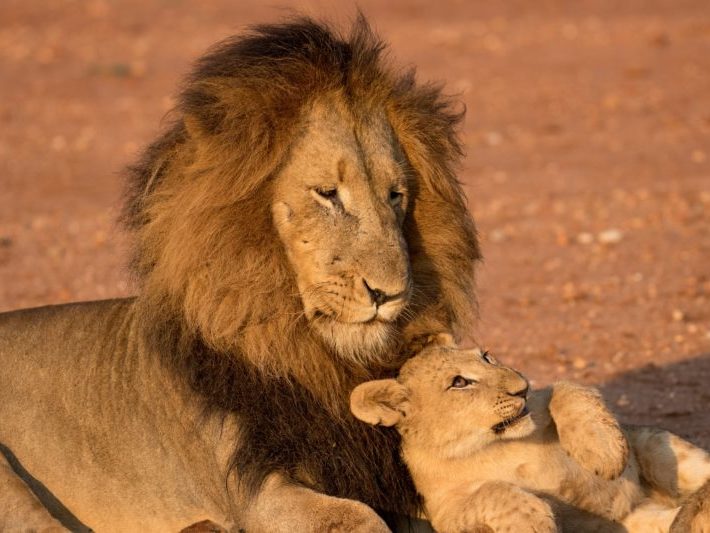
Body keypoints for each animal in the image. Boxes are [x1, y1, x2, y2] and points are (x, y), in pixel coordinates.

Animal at [0, 17, 481, 532]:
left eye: (396, 195)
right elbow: (358, 516)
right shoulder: (254, 491)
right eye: (327, 193)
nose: (390, 293)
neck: (318, 359)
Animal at [351, 340, 710, 533]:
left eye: (487, 356)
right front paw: (535, 520)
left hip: (659, 445)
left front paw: (605, 454)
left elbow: (567, 389)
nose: (521, 388)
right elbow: (492, 491)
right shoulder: (442, 515)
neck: (498, 445)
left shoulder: (545, 396)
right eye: (459, 382)